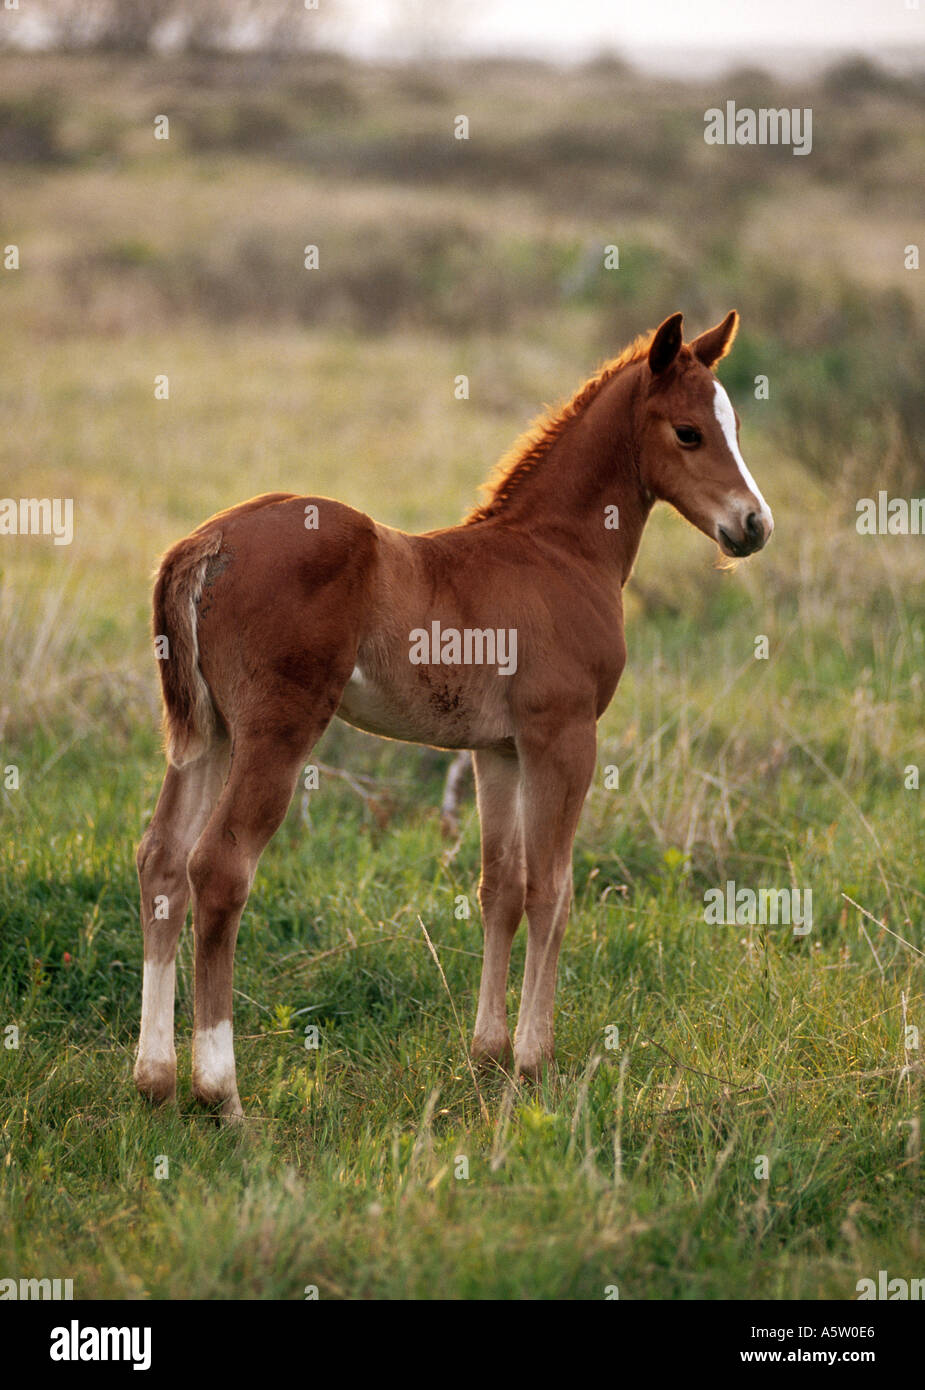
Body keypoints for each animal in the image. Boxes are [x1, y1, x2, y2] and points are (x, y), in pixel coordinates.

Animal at [135, 309, 773, 1112]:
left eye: (737, 425)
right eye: (688, 432)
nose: (754, 525)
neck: (557, 552)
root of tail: (209, 542)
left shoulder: (496, 750)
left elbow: (498, 887)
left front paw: (488, 1054)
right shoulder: (562, 736)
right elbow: (553, 889)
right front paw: (534, 1060)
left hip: (206, 734)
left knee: (160, 861)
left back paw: (153, 1078)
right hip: (275, 732)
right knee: (219, 867)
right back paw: (220, 1094)